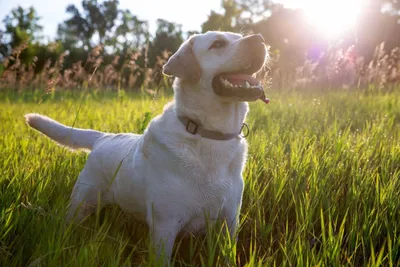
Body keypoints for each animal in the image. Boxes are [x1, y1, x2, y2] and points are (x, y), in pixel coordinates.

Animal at [25, 30, 268, 264]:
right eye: (217, 44)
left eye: (239, 36)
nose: (260, 39)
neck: (207, 133)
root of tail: (103, 137)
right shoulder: (165, 226)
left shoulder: (230, 222)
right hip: (81, 204)